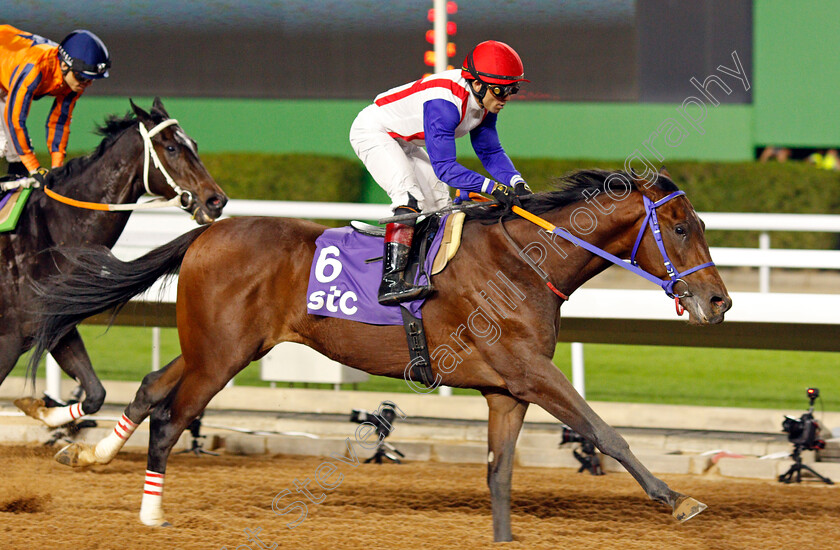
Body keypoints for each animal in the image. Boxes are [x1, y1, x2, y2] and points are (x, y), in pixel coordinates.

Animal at [5, 99, 226, 432]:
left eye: (194, 144)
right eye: (172, 147)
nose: (216, 200)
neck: (50, 234)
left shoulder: (58, 325)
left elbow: (96, 393)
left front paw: (44, 410)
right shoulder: (10, 338)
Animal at [31, 169, 728, 544]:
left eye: (699, 225)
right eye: (681, 228)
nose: (718, 300)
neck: (525, 263)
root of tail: (208, 232)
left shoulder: (506, 389)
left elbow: (500, 472)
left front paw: (503, 539)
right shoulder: (531, 372)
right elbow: (603, 431)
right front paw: (677, 500)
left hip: (215, 345)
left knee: (152, 386)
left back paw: (87, 450)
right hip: (219, 355)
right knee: (173, 418)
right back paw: (151, 514)